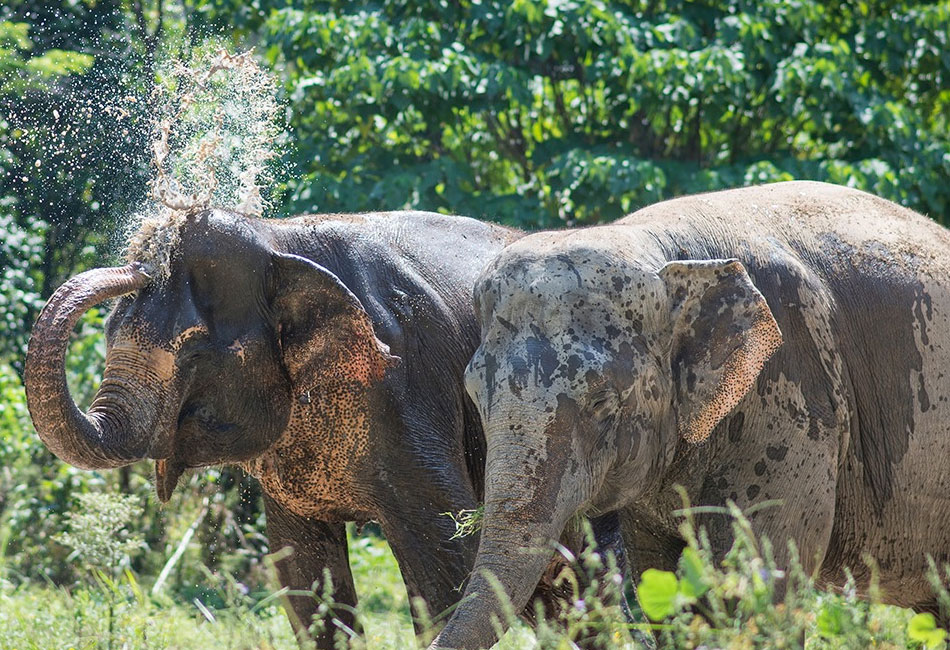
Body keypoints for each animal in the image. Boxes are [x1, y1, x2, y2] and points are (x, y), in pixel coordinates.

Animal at [24, 208, 528, 644]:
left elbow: (450, 556)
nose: (143, 262)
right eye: (109, 333)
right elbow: (304, 575)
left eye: (195, 353)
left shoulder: (409, 388)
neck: (277, 239)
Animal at [436, 180, 950, 644]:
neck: (662, 250)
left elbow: (758, 579)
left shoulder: (794, 400)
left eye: (602, 401)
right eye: (475, 394)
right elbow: (661, 577)